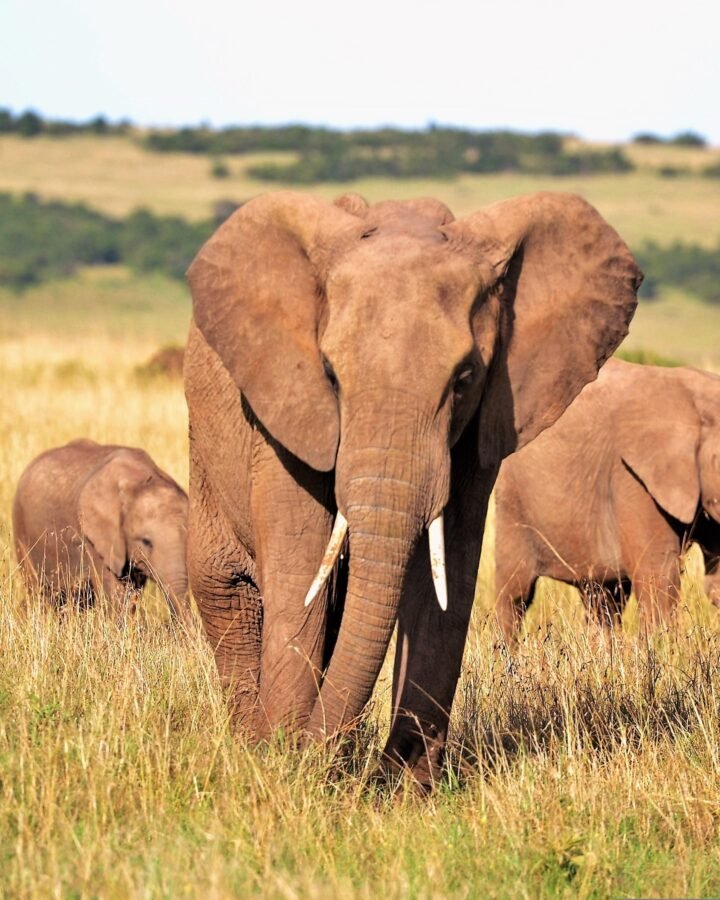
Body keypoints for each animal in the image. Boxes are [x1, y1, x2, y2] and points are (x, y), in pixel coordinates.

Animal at [184, 189, 641, 789]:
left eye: (464, 378)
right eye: (329, 374)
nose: (309, 753)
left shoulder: (480, 427)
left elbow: (446, 580)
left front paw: (403, 789)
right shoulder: (283, 413)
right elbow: (301, 571)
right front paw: (284, 765)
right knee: (228, 590)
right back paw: (252, 745)